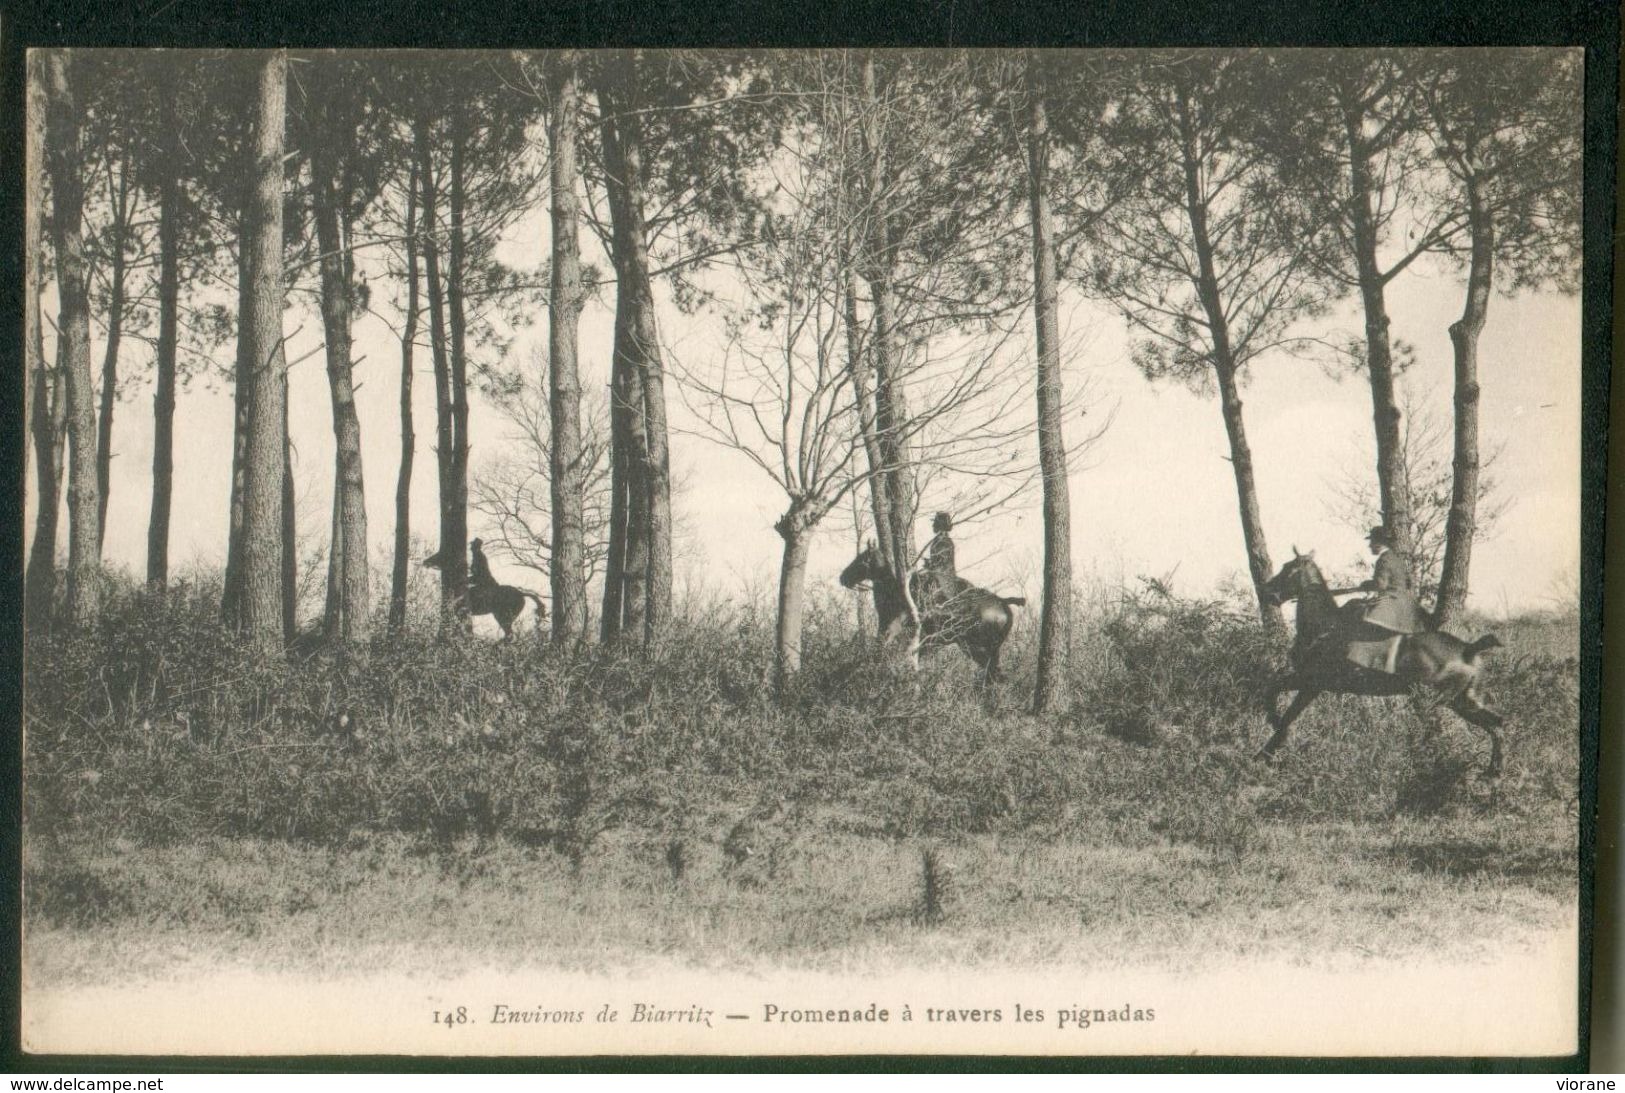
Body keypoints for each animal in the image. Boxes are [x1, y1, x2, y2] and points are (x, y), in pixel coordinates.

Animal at [838, 539, 1027, 682]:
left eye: (861, 559)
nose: (843, 577)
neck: (897, 593)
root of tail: (1003, 603)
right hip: (985, 649)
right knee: (995, 676)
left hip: (977, 648)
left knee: (994, 676)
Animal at [1254, 548, 1508, 773]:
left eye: (1288, 568)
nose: (1265, 592)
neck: (1324, 626)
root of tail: (1468, 649)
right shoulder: (1311, 685)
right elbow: (1282, 704)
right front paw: (1266, 753)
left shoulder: (1310, 682)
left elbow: (1277, 700)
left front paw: (1270, 739)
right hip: (1463, 702)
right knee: (1497, 724)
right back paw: (1492, 771)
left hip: (1430, 701)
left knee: (1436, 730)